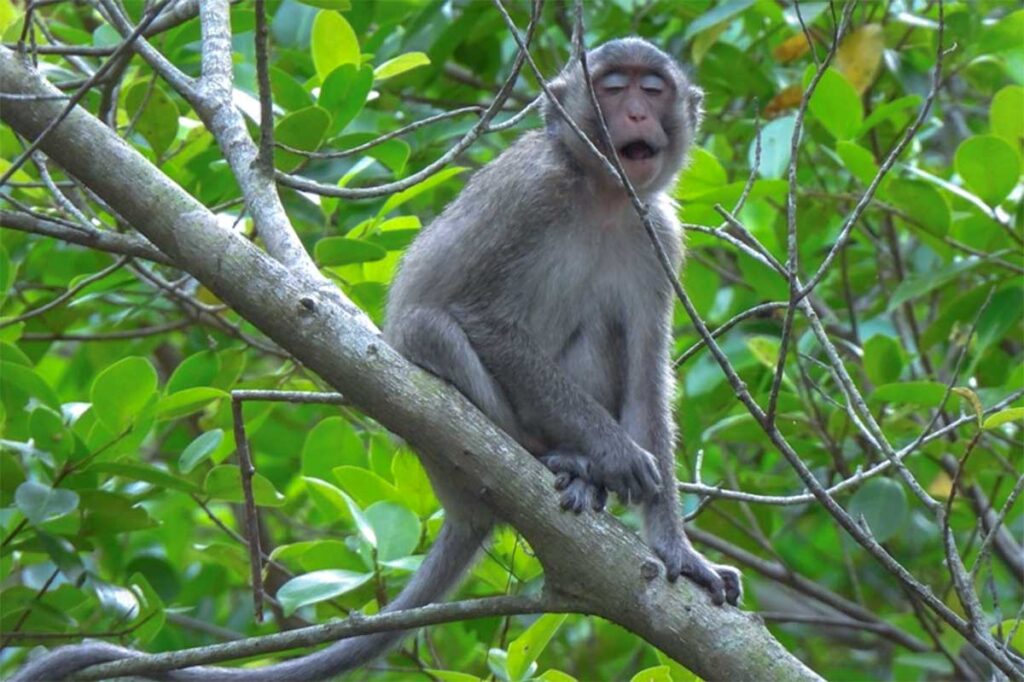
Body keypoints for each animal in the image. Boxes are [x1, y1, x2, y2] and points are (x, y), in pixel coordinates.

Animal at [11, 37, 740, 682]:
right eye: (612, 87)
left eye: (653, 88)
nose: (637, 115)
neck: (602, 195)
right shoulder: (529, 196)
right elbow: (479, 316)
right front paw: (614, 453)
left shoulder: (658, 234)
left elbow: (647, 376)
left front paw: (678, 552)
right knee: (428, 326)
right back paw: (553, 455)